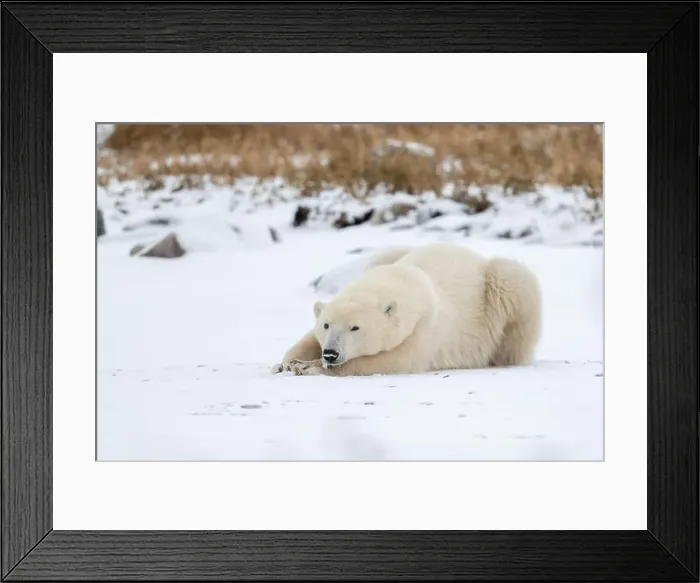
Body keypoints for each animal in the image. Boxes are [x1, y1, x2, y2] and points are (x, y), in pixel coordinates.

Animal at [271, 242, 541, 377]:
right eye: (326, 324)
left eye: (355, 327)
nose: (330, 354)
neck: (405, 279)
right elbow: (306, 340)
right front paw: (286, 364)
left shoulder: (426, 326)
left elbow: (393, 361)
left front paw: (309, 366)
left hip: (502, 289)